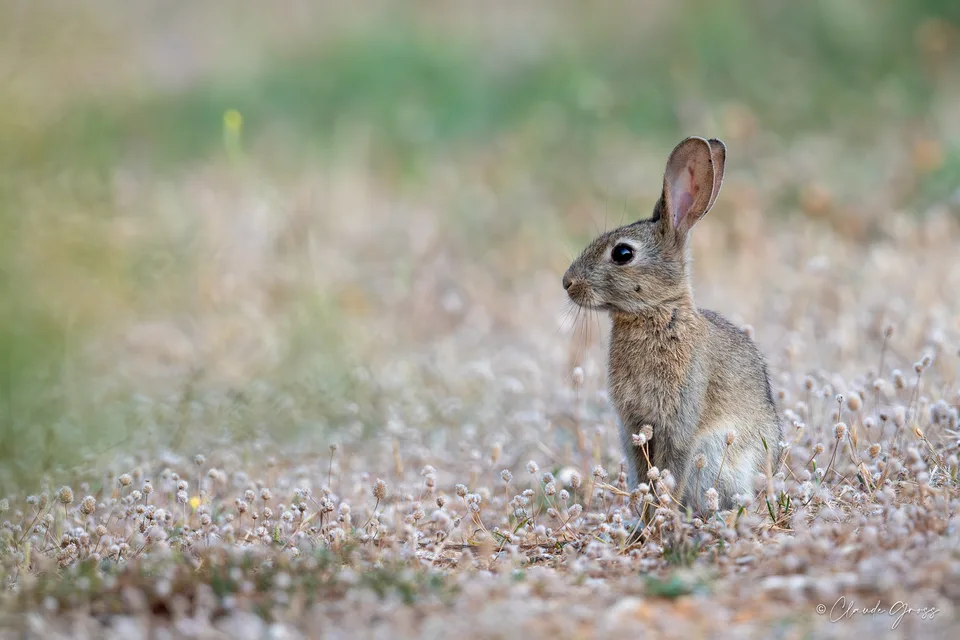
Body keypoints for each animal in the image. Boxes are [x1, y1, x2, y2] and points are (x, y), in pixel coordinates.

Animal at [562, 136, 782, 517]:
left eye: (622, 254)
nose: (567, 283)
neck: (657, 313)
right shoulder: (633, 424)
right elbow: (643, 470)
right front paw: (646, 518)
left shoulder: (680, 421)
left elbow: (671, 470)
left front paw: (662, 516)